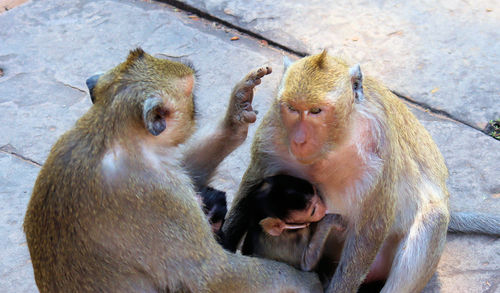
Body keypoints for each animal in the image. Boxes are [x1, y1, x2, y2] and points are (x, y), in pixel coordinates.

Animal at [23, 48, 320, 292]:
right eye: (192, 94)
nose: (195, 108)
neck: (109, 132)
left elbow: (190, 175)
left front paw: (234, 116)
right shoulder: (157, 197)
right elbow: (216, 276)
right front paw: (305, 281)